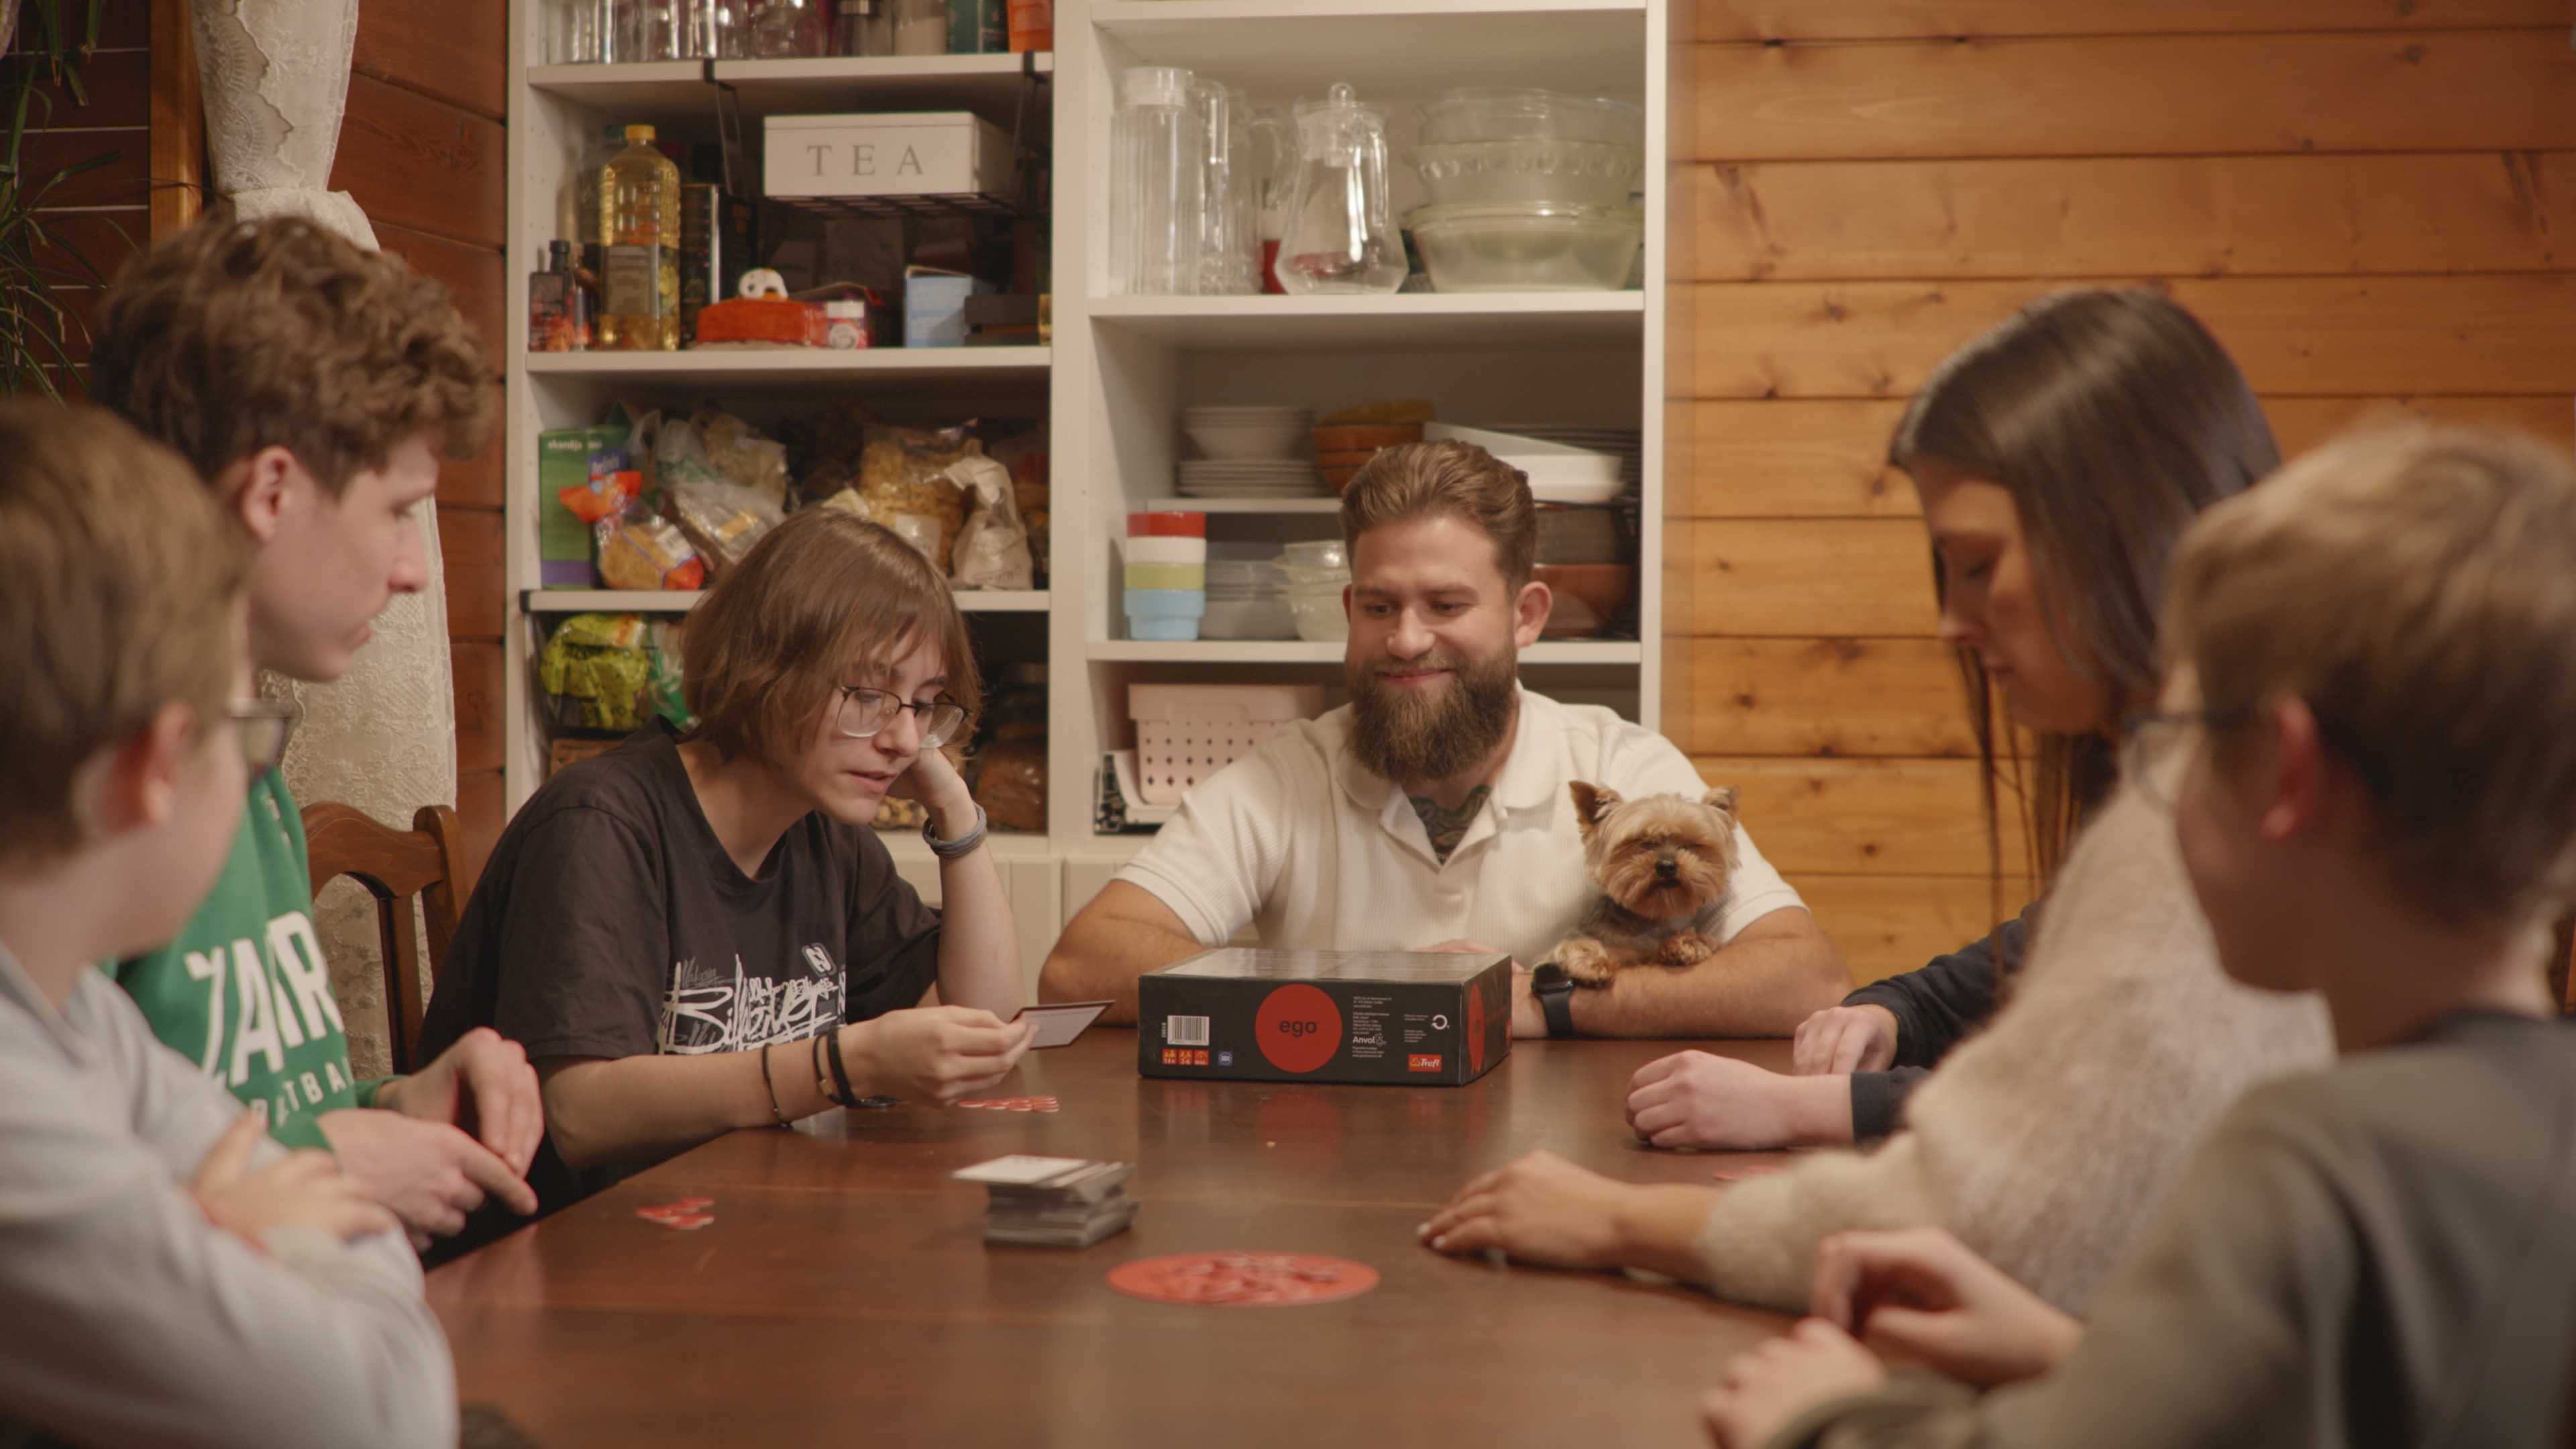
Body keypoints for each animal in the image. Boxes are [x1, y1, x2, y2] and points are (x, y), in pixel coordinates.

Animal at [1549, 781, 1741, 986]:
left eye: (1689, 846)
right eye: (1644, 843)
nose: (1667, 866)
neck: (1651, 918)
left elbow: (1708, 942)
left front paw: (1688, 944)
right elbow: (1573, 946)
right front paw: (1591, 963)